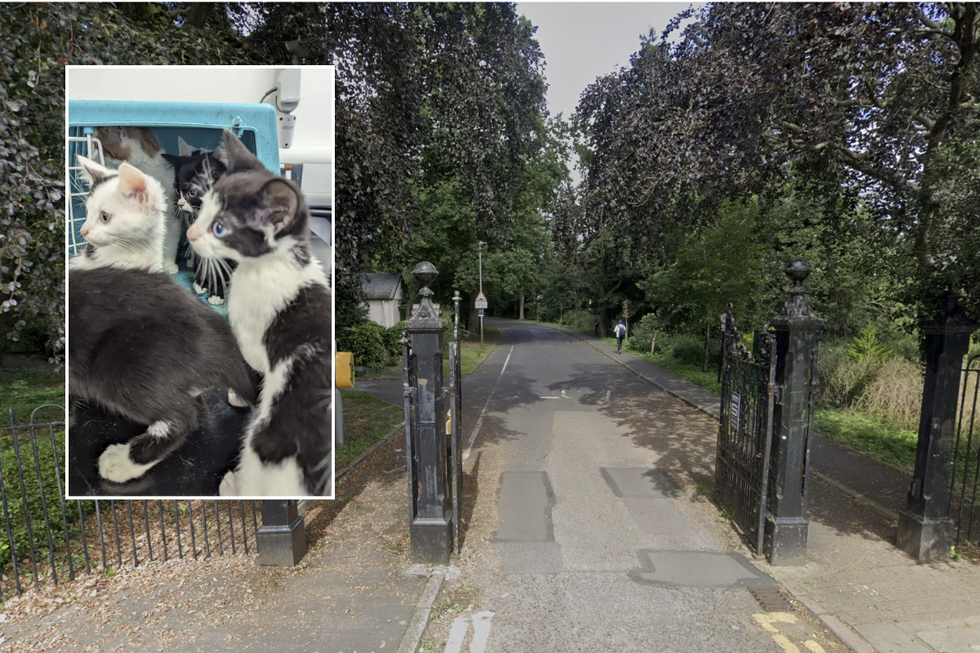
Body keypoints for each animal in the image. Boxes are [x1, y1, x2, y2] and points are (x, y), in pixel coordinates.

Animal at [188, 129, 334, 494]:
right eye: (202, 208)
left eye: (220, 228)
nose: (190, 233)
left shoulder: (254, 337)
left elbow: (244, 357)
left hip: (265, 440)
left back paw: (230, 486)